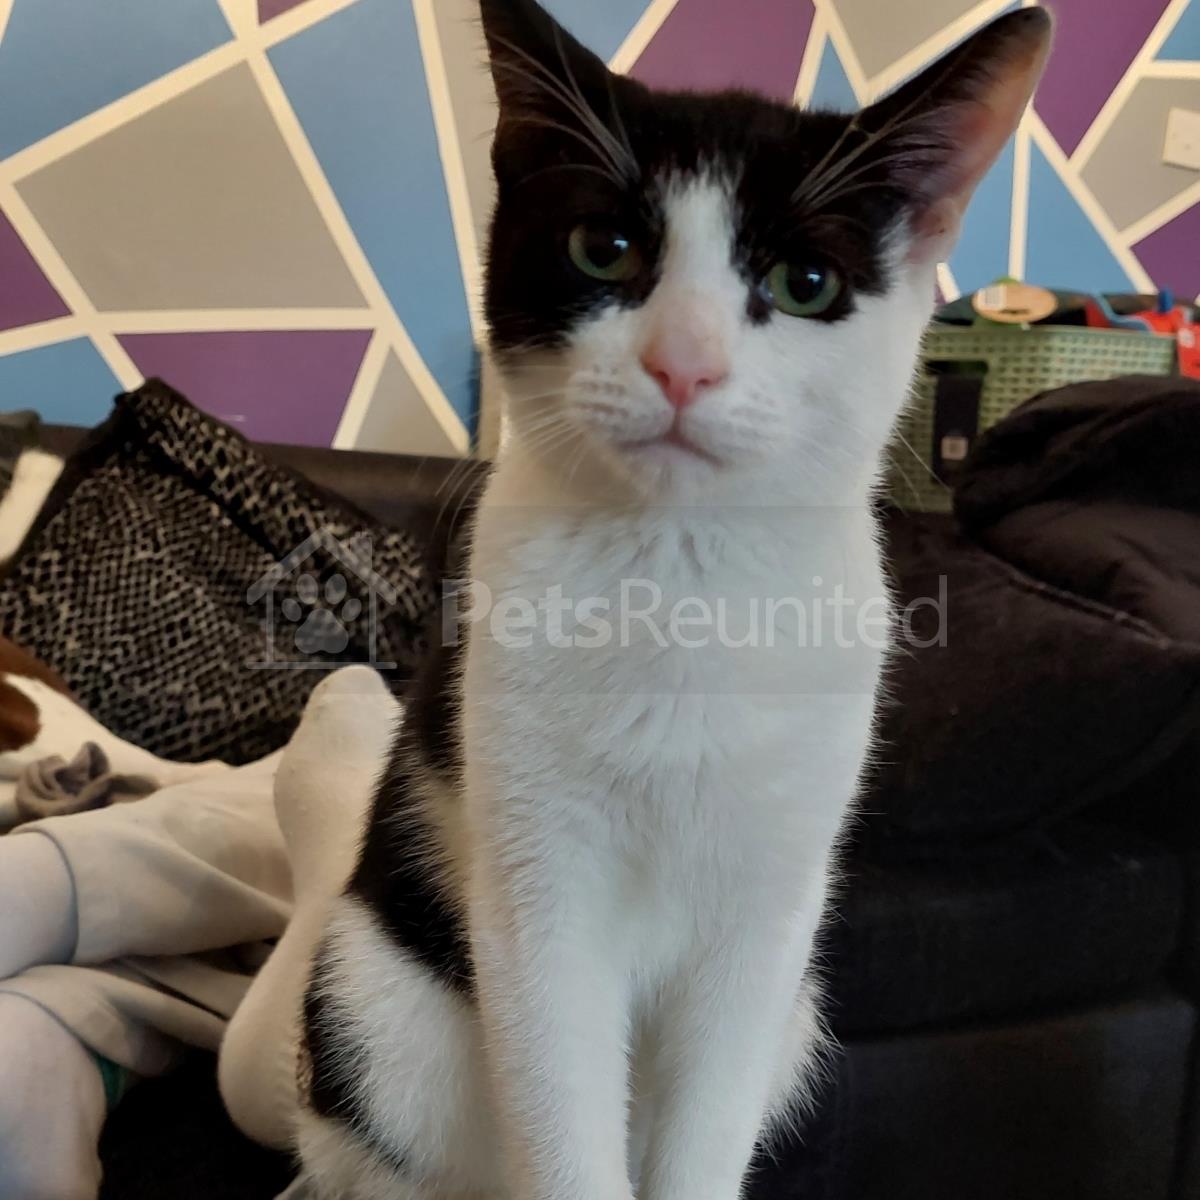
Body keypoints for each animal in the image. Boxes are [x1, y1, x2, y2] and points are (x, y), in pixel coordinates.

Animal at [295, 3, 1051, 1198]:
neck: (682, 582)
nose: (683, 362)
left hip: (796, 1015)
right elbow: (563, 1110)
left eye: (805, 282)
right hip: (375, 1000)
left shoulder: (771, 911)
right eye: (604, 249)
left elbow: (709, 1118)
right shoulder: (535, 895)